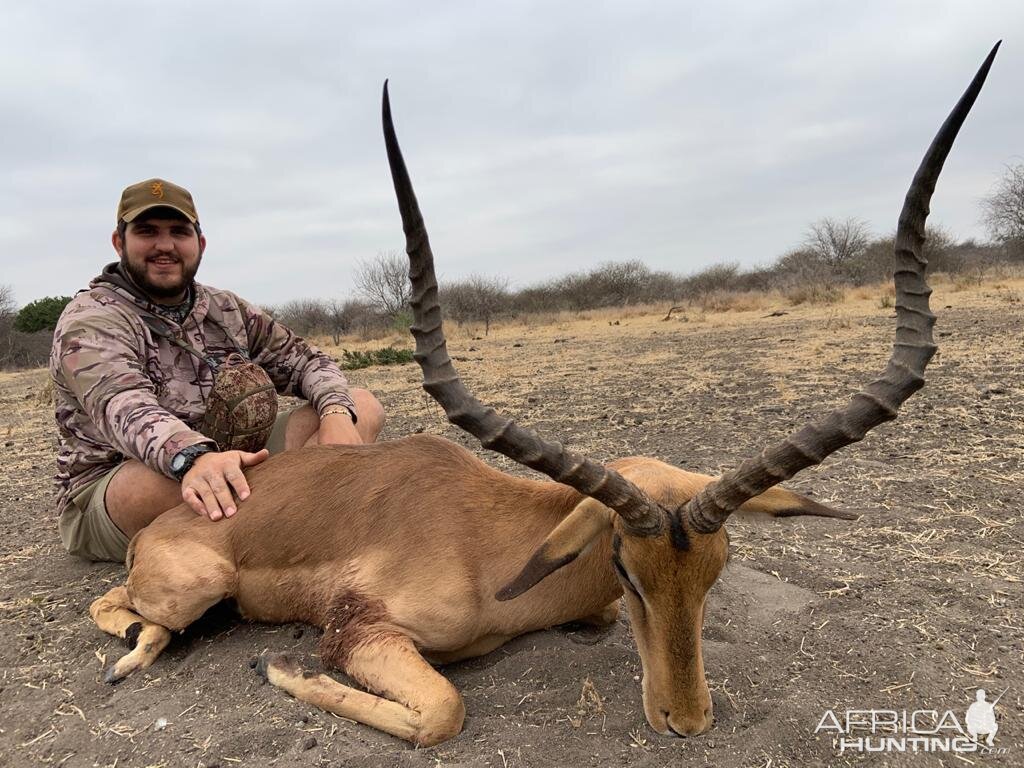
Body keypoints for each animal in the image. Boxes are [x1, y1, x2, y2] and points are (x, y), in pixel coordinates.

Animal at [90, 46, 999, 745]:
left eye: (718, 567)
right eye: (625, 566)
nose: (684, 721)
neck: (490, 543)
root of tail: (170, 525)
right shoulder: (360, 629)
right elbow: (443, 712)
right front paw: (274, 659)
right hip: (195, 584)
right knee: (128, 610)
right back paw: (137, 653)